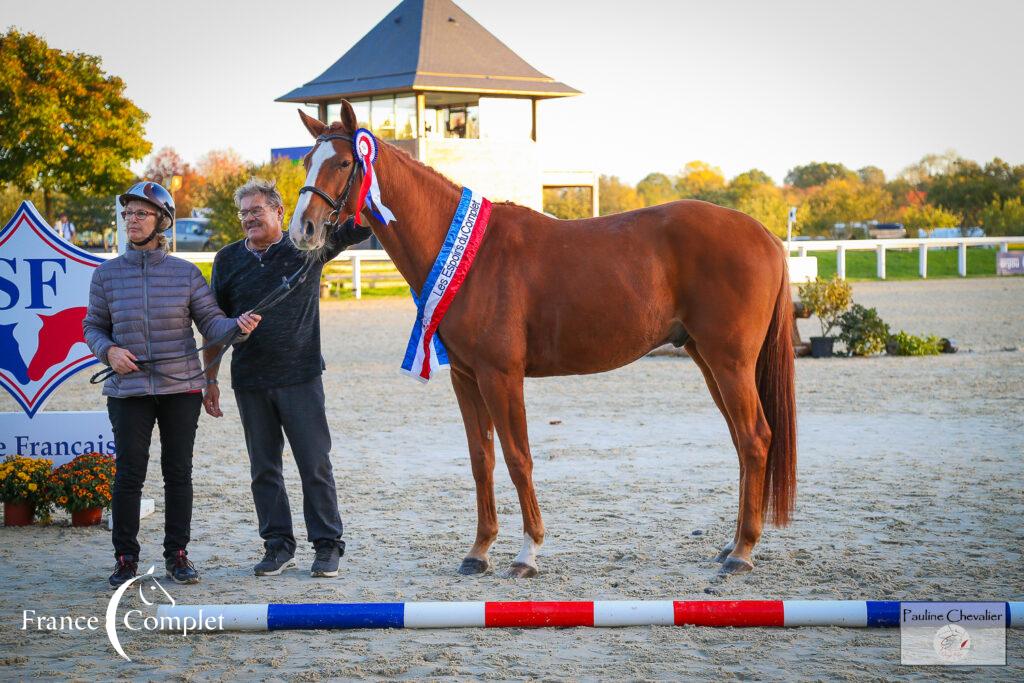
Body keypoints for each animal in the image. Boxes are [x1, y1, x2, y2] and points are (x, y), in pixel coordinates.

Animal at [292, 104, 794, 581]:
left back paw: (742, 552)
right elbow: (482, 460)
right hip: (708, 361)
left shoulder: (501, 376)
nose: (303, 230)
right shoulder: (466, 378)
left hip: (729, 363)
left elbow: (518, 459)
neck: (470, 255)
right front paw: (479, 551)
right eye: (305, 162)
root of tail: (766, 235)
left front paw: (527, 553)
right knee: (743, 442)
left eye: (342, 163)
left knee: (754, 439)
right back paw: (732, 544)